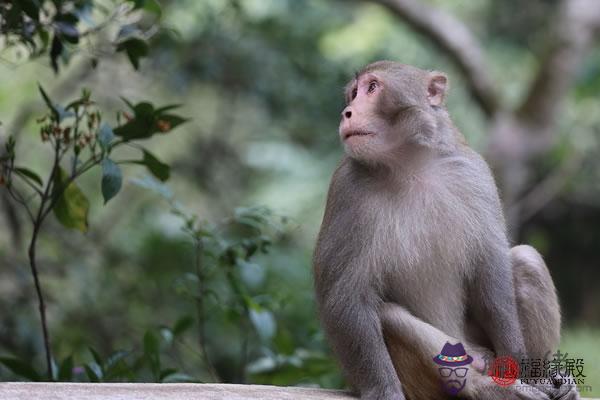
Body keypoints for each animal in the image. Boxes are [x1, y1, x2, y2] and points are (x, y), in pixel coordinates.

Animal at [312, 60, 580, 400]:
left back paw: (539, 378)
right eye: (353, 93)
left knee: (525, 261)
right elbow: (345, 297)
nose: (347, 112)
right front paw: (383, 391)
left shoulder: (474, 172)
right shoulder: (346, 189)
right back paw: (485, 389)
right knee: (389, 315)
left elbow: (490, 273)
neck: (410, 166)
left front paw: (521, 368)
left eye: (372, 88)